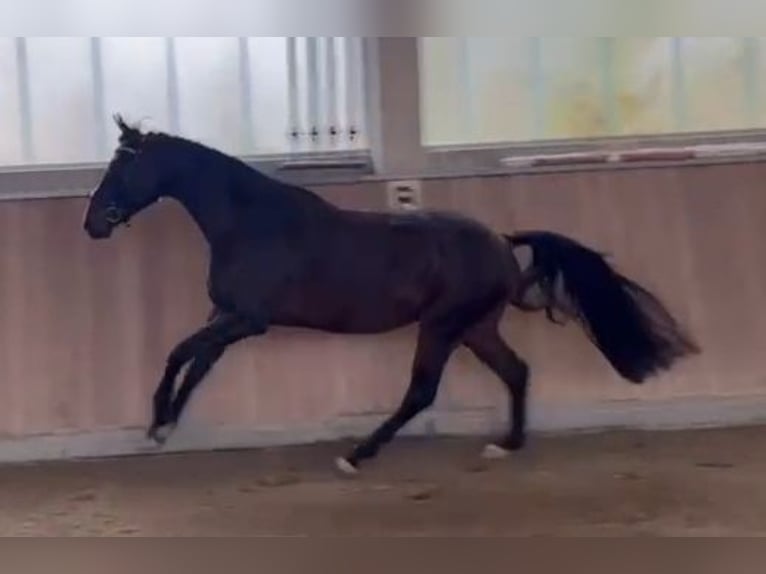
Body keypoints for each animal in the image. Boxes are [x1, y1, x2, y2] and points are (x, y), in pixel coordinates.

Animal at [84, 115, 704, 474]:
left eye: (120, 167)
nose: (93, 223)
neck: (250, 223)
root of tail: (501, 244)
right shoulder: (227, 316)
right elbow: (195, 364)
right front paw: (164, 426)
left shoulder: (247, 319)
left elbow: (178, 353)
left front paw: (157, 421)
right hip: (475, 329)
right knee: (516, 371)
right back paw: (506, 444)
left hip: (442, 326)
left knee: (422, 391)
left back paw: (356, 456)